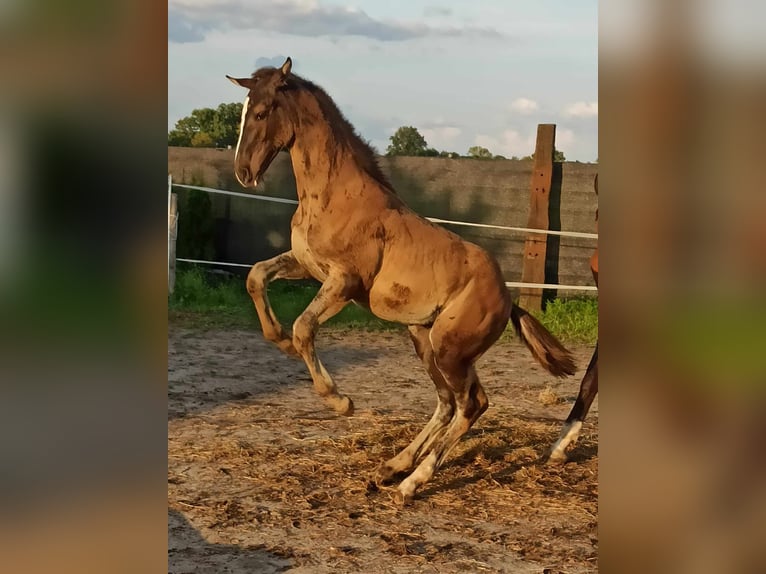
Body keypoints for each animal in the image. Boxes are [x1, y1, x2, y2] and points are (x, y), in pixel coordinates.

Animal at [228, 57, 576, 504]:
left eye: (261, 112)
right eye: (242, 111)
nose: (243, 172)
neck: (334, 195)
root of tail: (507, 298)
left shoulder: (344, 282)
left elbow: (305, 326)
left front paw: (339, 401)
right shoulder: (307, 266)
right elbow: (256, 277)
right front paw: (281, 342)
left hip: (449, 349)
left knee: (472, 404)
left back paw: (412, 481)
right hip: (424, 339)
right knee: (448, 402)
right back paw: (392, 467)